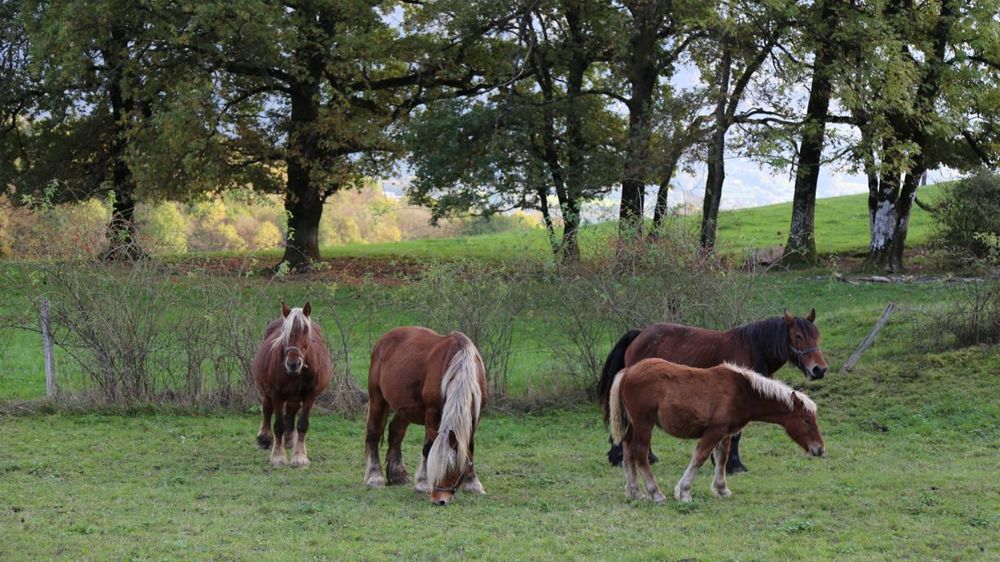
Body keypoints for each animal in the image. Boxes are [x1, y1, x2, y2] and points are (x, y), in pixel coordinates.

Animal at [251, 302, 333, 467]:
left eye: (306, 330)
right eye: (284, 330)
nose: (293, 364)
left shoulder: (310, 395)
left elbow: (302, 425)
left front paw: (299, 456)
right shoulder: (276, 394)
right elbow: (278, 425)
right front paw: (278, 456)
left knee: (291, 411)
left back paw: (289, 440)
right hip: (268, 392)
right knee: (267, 409)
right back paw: (264, 439)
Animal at [364, 326, 488, 505]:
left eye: (454, 470)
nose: (440, 500)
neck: (461, 365)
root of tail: (384, 339)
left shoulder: (474, 416)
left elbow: (469, 448)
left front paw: (473, 483)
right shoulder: (432, 413)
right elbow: (428, 448)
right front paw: (423, 483)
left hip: (405, 409)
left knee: (395, 432)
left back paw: (398, 474)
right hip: (377, 398)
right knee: (374, 433)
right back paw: (375, 477)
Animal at [598, 309, 828, 472]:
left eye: (817, 337)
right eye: (798, 336)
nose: (820, 369)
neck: (753, 348)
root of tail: (639, 334)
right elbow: (735, 436)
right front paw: (734, 465)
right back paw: (621, 457)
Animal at [608, 358, 825, 503]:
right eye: (806, 420)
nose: (820, 449)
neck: (741, 391)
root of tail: (628, 371)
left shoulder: (725, 432)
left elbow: (722, 457)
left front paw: (722, 489)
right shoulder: (714, 431)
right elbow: (700, 456)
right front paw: (684, 491)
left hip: (635, 424)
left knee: (627, 448)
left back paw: (635, 491)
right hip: (644, 423)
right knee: (640, 452)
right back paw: (656, 493)